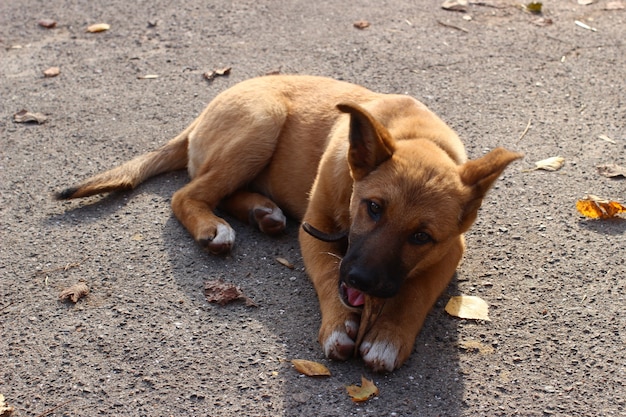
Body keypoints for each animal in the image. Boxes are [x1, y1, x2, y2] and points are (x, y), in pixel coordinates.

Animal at [56, 74, 520, 370]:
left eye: (421, 236)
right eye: (372, 208)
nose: (363, 282)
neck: (416, 136)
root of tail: (199, 117)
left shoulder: (451, 250)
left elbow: (416, 292)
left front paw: (389, 336)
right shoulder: (314, 229)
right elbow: (328, 279)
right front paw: (338, 325)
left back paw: (262, 212)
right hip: (263, 120)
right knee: (187, 193)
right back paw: (214, 227)